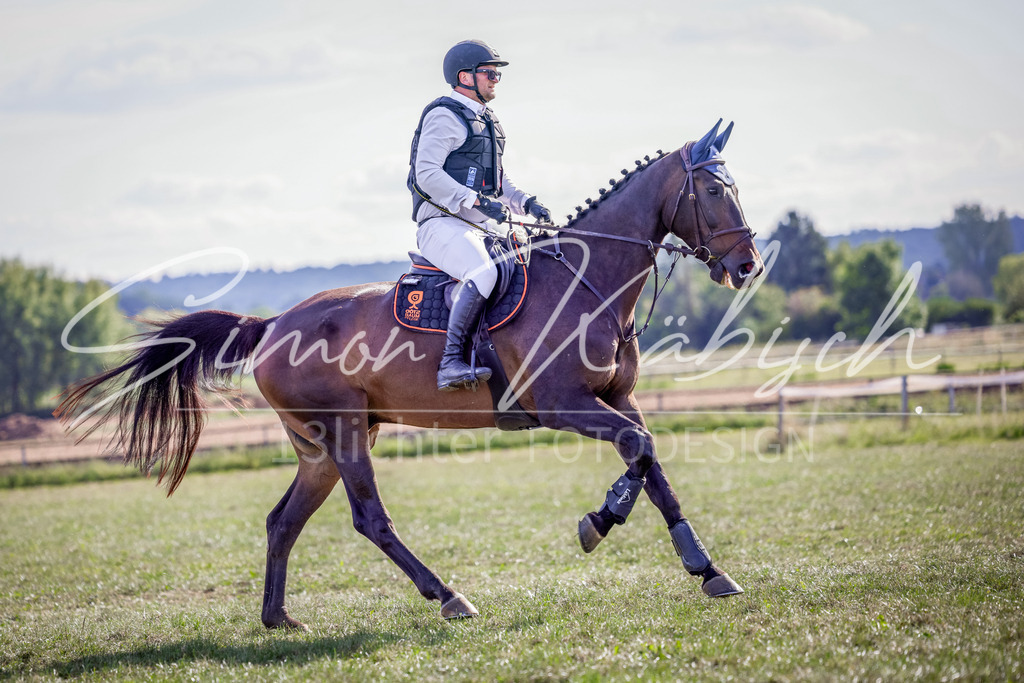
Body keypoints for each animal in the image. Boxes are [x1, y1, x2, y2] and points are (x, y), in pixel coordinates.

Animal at [57, 120, 765, 630]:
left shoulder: (619, 398)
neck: (586, 281)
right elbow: (639, 452)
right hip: (344, 435)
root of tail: (273, 324)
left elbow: (653, 465)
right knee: (370, 519)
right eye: (712, 191)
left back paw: (278, 618)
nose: (748, 265)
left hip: (324, 446)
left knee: (284, 520)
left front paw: (706, 569)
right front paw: (600, 521)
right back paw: (448, 595)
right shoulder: (562, 402)